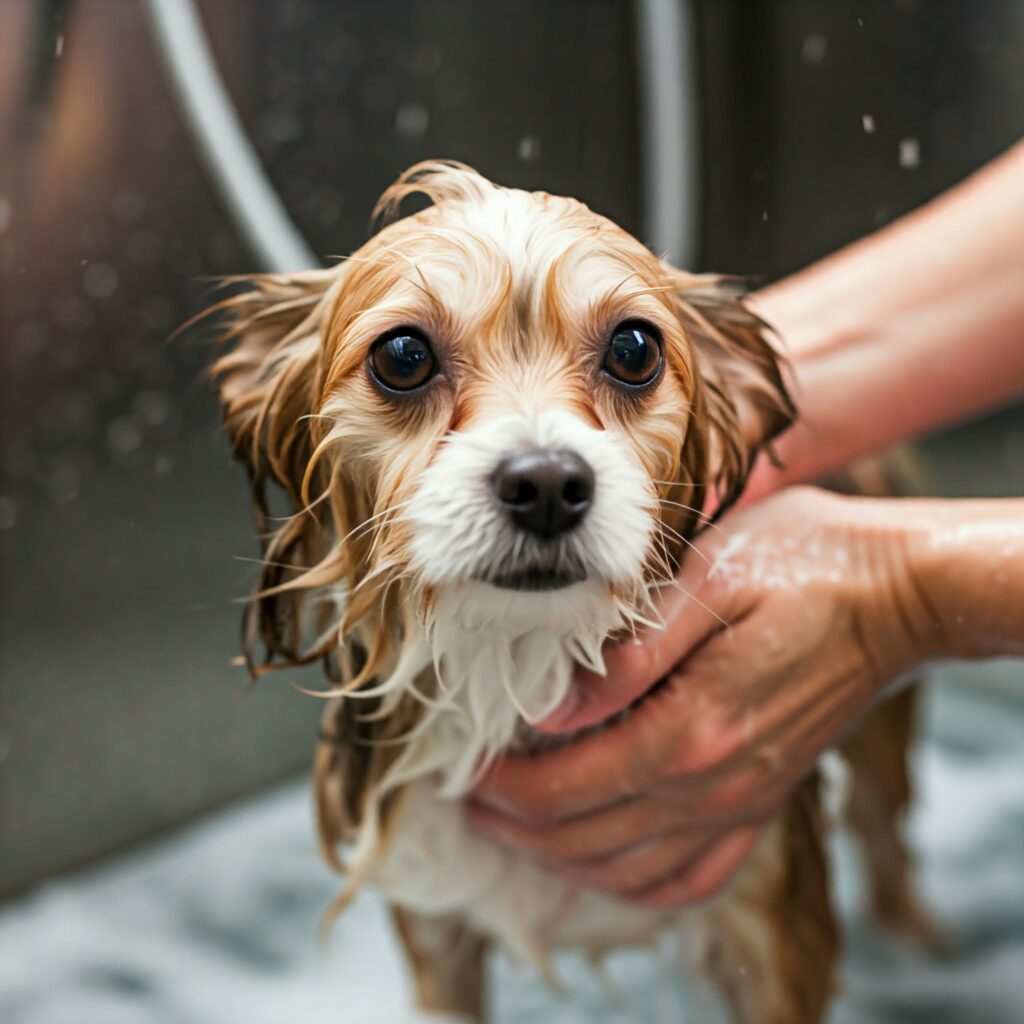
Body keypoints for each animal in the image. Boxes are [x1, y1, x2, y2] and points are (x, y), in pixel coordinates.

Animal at [203, 163, 925, 1019]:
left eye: (634, 349)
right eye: (403, 356)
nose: (546, 484)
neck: (518, 666)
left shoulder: (773, 919)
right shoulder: (434, 927)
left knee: (885, 835)